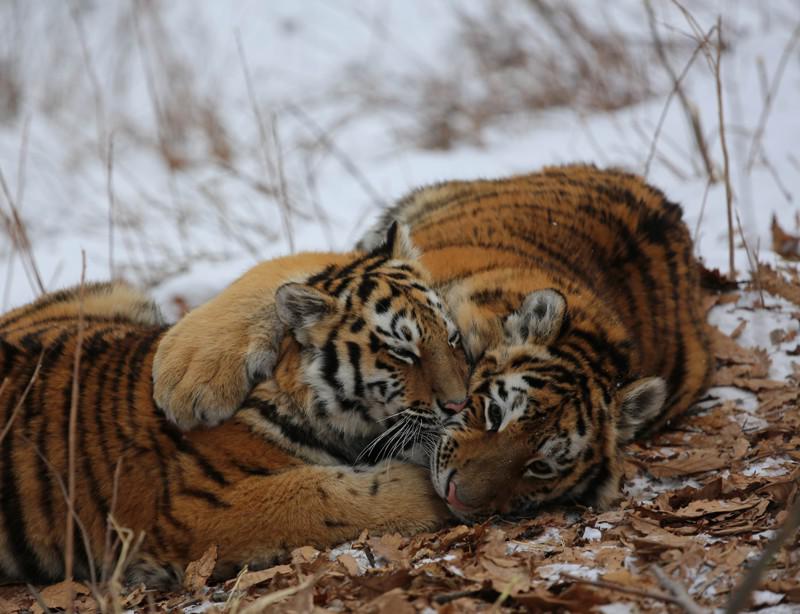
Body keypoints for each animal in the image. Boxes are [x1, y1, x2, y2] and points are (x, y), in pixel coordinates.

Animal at [0, 225, 462, 588]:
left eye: (452, 337)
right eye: (402, 353)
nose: (458, 404)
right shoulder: (197, 507)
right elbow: (322, 496)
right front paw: (423, 491)